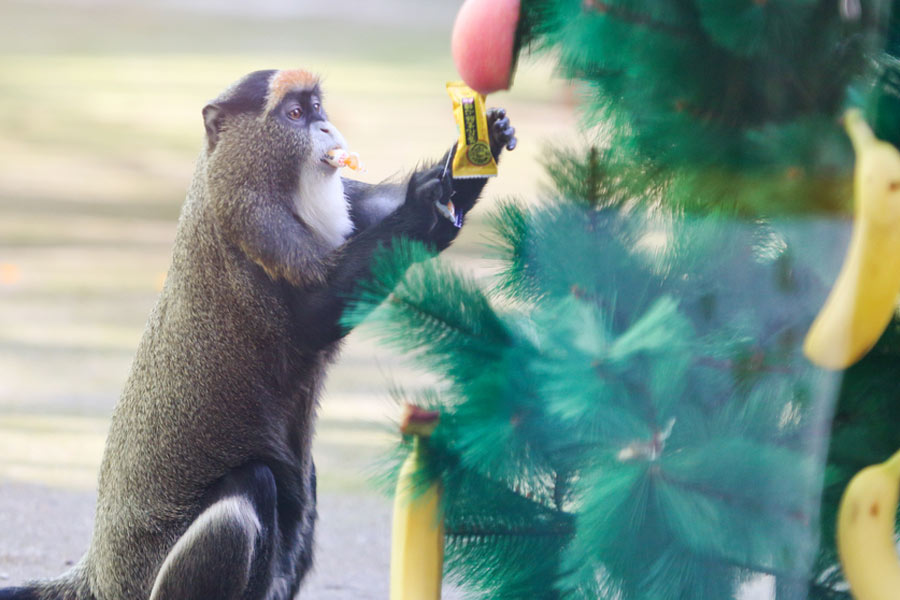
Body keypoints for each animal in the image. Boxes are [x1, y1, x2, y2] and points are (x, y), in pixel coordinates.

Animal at [0, 68, 516, 600]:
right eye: (295, 113)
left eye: (317, 108)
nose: (326, 128)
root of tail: (98, 574)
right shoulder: (252, 217)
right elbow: (316, 314)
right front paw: (423, 203)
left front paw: (481, 146)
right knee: (251, 489)